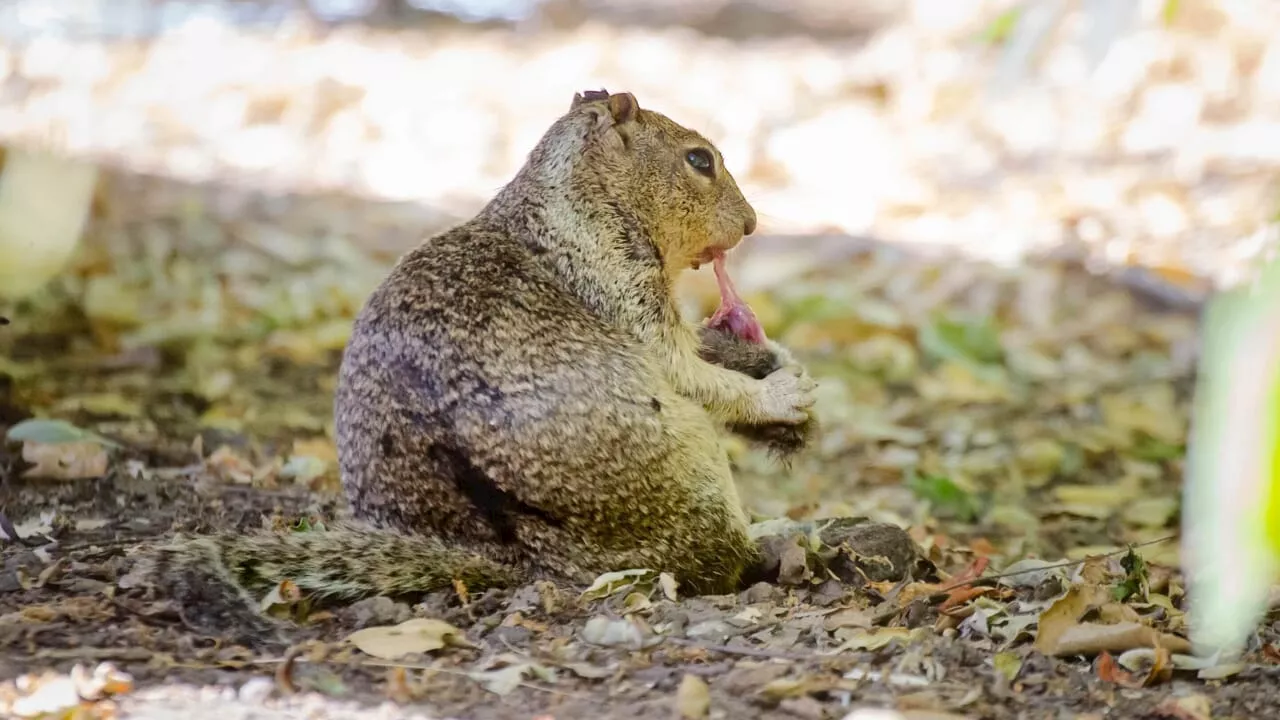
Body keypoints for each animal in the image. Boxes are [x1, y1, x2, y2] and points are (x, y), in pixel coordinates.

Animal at [140, 90, 890, 627]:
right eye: (699, 159)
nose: (754, 223)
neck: (580, 200)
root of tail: (509, 559)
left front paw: (768, 362)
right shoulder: (623, 290)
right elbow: (688, 373)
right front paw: (780, 396)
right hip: (691, 470)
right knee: (716, 563)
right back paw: (782, 541)